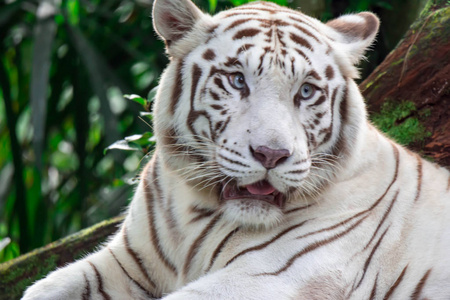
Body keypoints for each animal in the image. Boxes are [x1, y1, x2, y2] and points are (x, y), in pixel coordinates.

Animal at [22, 0, 450, 298]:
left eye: (306, 91)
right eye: (237, 80)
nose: (271, 155)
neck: (195, 214)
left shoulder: (271, 277)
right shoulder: (125, 262)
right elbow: (43, 288)